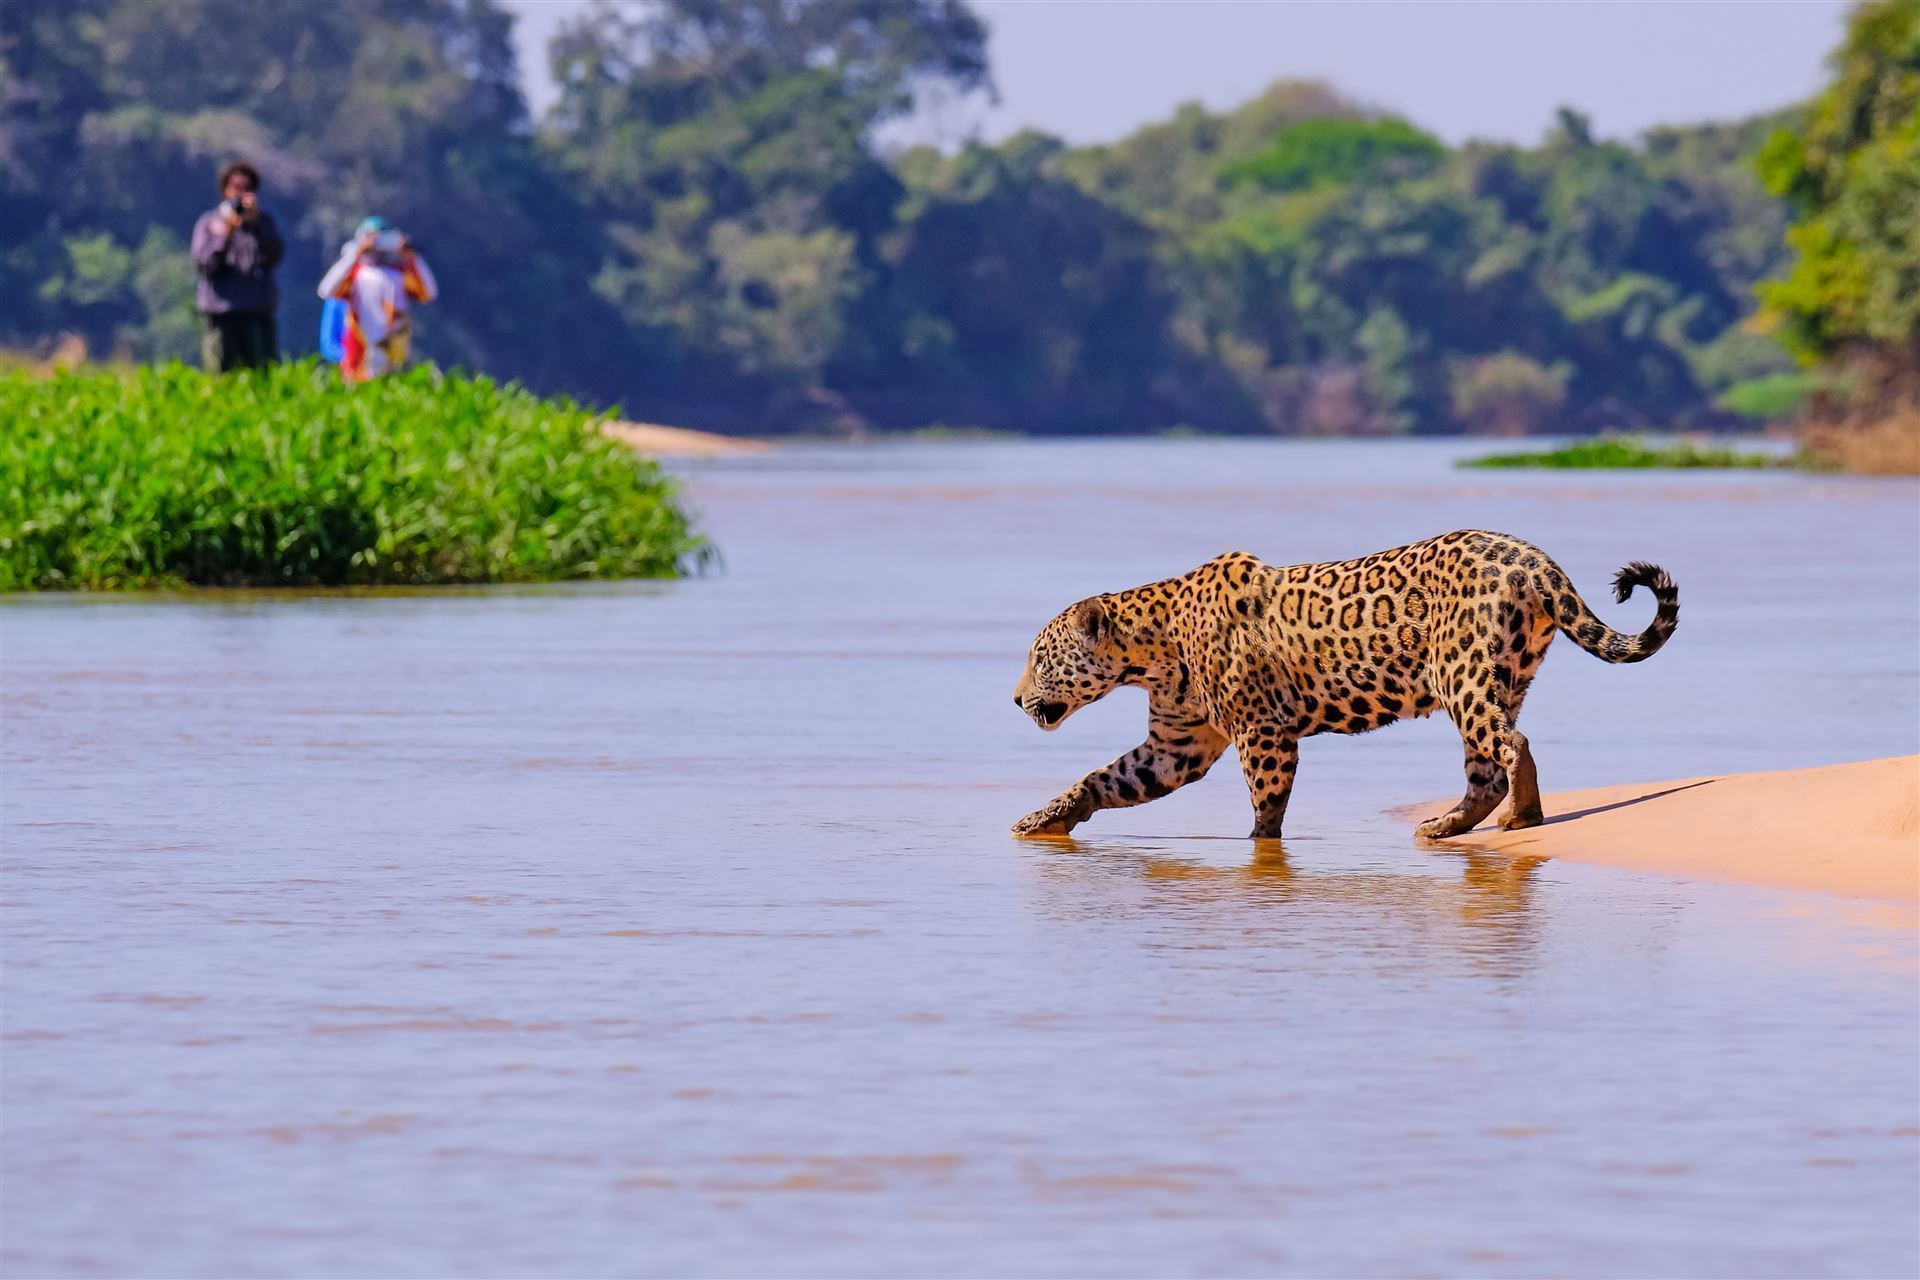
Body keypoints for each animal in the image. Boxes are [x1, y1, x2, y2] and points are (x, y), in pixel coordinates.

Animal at [1011, 529, 1678, 840]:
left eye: (1039, 657)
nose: (1015, 698)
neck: (1151, 650)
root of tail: (1532, 557)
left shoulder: (1263, 733)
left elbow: (1267, 807)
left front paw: (1259, 848)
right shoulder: (1176, 746)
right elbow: (1103, 779)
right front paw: (1042, 819)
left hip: (1460, 672)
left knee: (1512, 745)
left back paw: (1523, 818)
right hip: (1503, 675)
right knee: (1486, 766)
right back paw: (1447, 826)